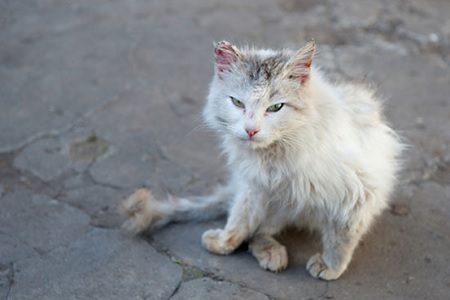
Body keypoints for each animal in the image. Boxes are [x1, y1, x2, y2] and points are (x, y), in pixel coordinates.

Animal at [120, 38, 404, 280]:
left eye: (276, 107)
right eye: (237, 103)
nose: (251, 130)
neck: (275, 153)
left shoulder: (356, 195)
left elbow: (340, 239)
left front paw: (330, 267)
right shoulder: (255, 185)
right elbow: (239, 219)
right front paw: (223, 242)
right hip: (276, 201)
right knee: (257, 231)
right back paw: (271, 254)